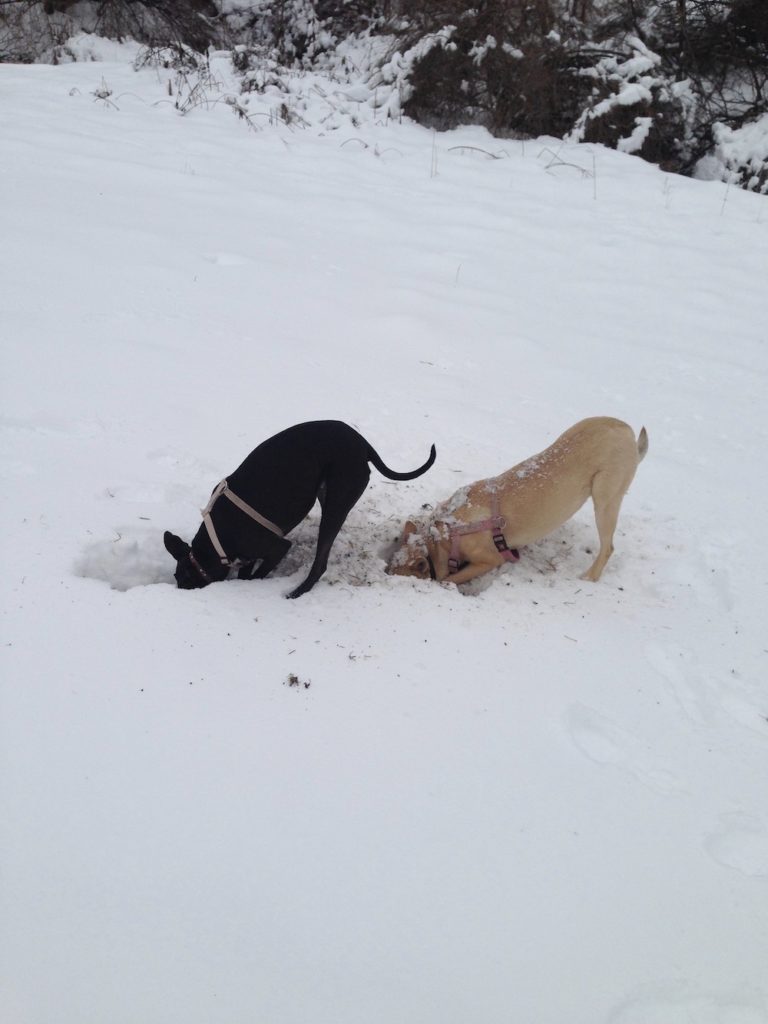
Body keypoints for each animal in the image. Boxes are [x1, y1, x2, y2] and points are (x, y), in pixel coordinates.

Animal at [164, 417, 436, 598]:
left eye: (184, 580)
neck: (217, 539)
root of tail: (362, 443)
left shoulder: (276, 547)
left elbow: (256, 574)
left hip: (336, 503)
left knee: (320, 564)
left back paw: (296, 592)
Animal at [387, 417, 647, 585]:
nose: (384, 574)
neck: (445, 532)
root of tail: (627, 431)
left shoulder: (489, 558)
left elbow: (452, 578)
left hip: (606, 498)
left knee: (608, 547)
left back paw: (588, 577)